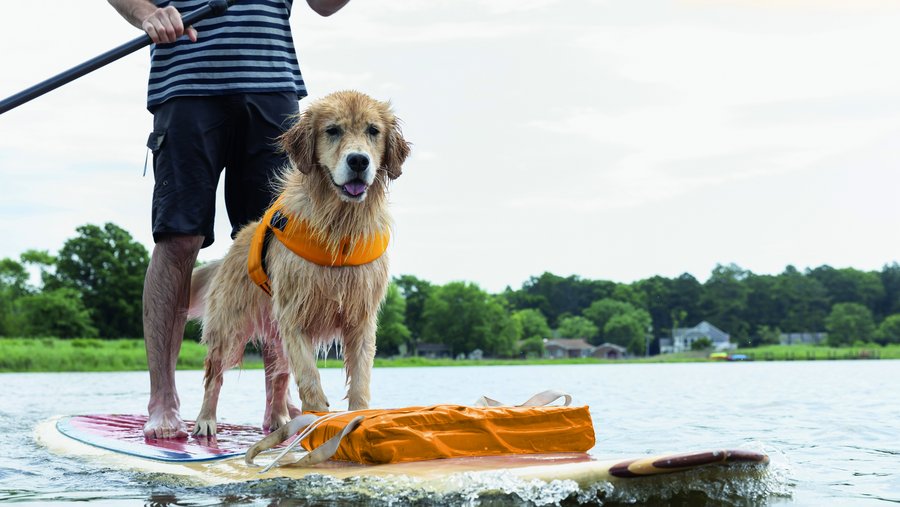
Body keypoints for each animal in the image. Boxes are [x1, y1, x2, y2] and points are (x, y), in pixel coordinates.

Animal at [188, 90, 410, 436]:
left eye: (373, 131)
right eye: (332, 130)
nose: (358, 161)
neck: (339, 229)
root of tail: (230, 250)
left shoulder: (361, 318)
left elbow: (361, 378)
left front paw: (359, 419)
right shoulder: (294, 315)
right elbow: (309, 376)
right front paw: (317, 420)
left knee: (277, 376)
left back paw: (279, 419)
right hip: (229, 327)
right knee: (215, 375)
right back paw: (206, 420)